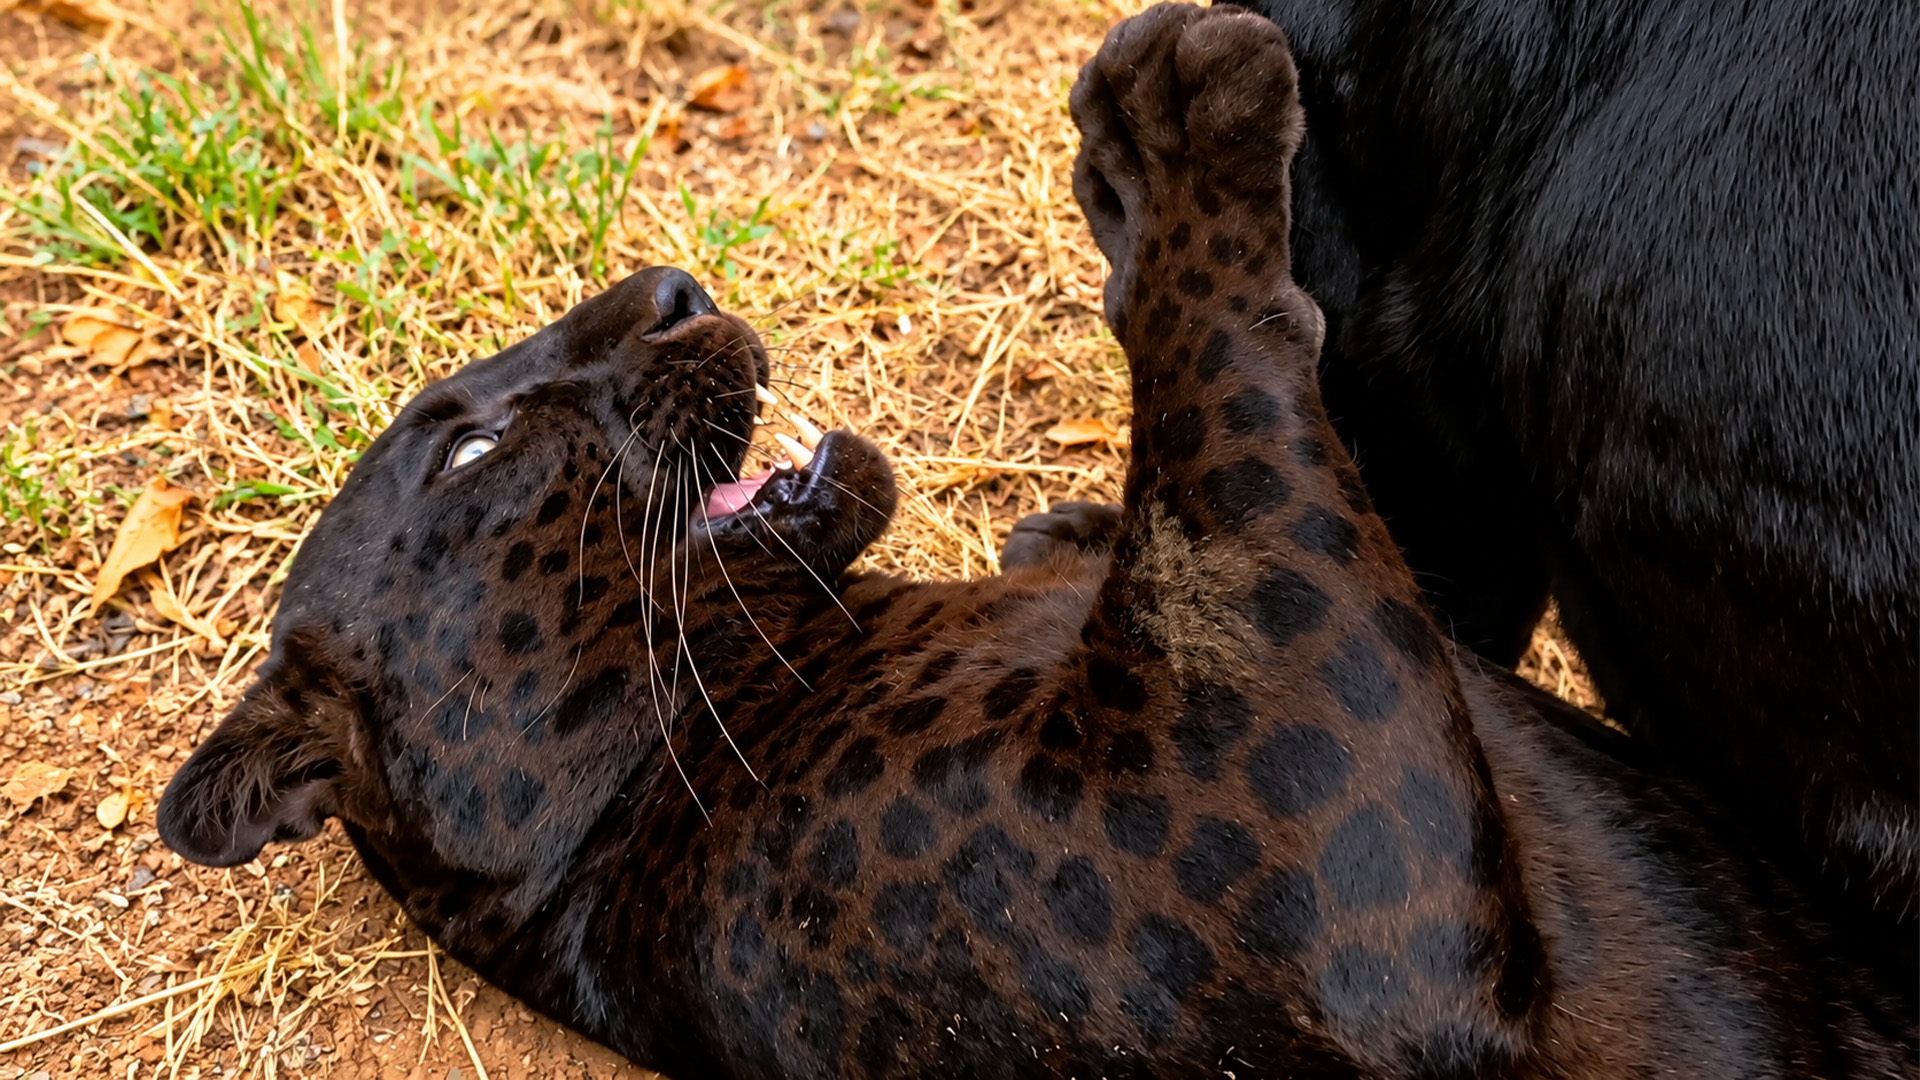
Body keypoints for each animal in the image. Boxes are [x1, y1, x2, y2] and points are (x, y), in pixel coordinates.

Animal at [157, 6, 1915, 1077]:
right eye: (469, 443)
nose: (670, 288)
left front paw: (1059, 530)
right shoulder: (1327, 866)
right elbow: (1222, 473)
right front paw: (1166, 126)